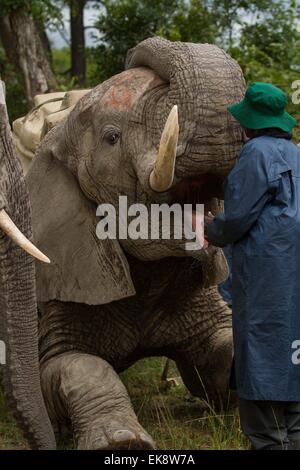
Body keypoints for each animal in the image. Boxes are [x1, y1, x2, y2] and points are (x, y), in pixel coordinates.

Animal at [21, 38, 245, 450]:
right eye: (112, 138)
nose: (140, 49)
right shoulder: (66, 270)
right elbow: (72, 364)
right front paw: (123, 443)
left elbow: (220, 351)